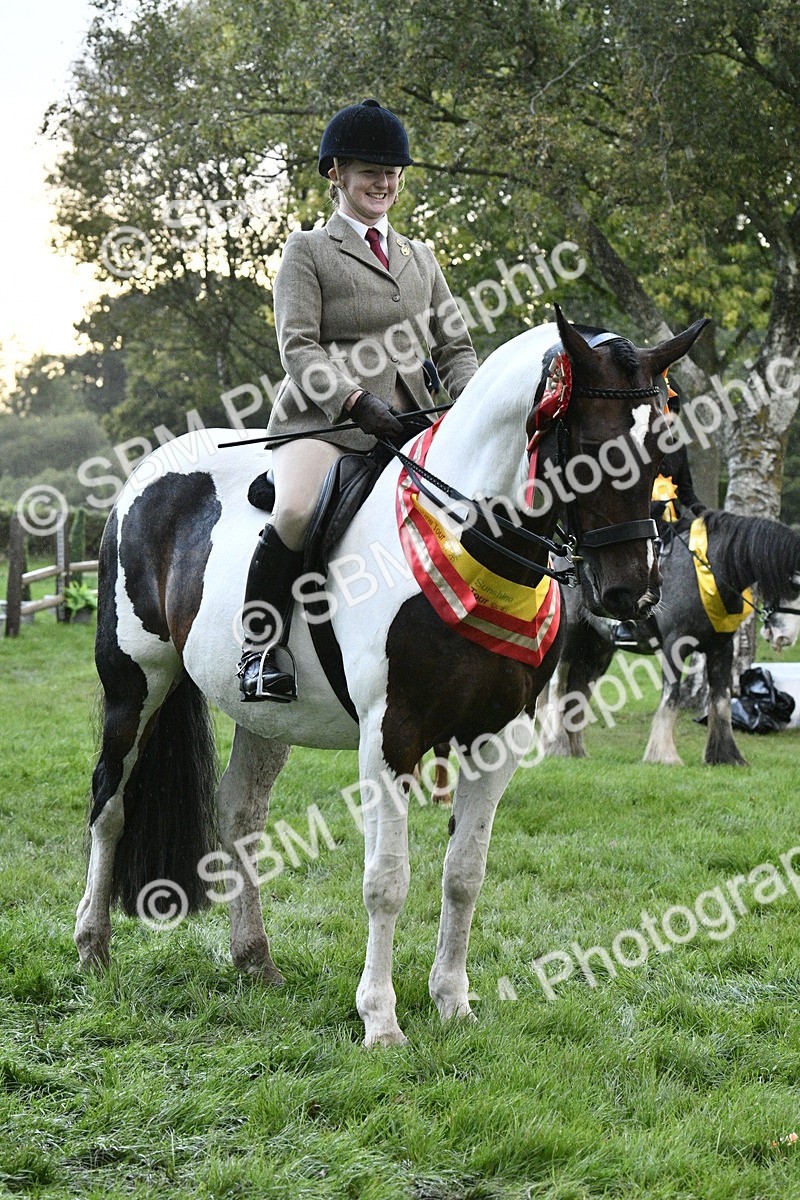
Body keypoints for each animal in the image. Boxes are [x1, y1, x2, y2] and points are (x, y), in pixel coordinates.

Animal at [74, 307, 708, 1046]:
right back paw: (92, 947)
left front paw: (452, 1002)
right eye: (591, 447)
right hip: (135, 684)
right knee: (110, 802)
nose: (633, 593)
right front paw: (380, 1020)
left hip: (264, 715)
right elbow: (386, 879)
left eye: (664, 453)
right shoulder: (390, 735)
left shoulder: (498, 737)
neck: (470, 538)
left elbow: (464, 874)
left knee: (239, 815)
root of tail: (148, 473)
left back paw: (254, 959)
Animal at [538, 510, 800, 767]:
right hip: (571, 642)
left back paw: (577, 750)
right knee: (557, 688)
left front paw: (725, 756)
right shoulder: (675, 646)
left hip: (597, 651)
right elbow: (671, 697)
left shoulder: (721, 648)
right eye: (794, 582)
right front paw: (663, 754)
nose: (784, 636)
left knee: (579, 692)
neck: (711, 573)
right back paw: (557, 745)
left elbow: (721, 700)